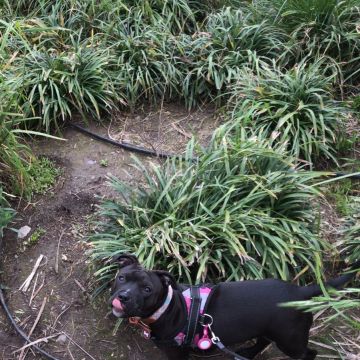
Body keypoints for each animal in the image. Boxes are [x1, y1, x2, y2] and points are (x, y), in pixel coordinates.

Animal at [111, 255, 358, 358]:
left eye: (147, 289)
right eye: (121, 278)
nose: (123, 296)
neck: (168, 306)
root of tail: (299, 292)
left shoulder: (176, 353)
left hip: (291, 342)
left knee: (309, 354)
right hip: (271, 329)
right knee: (263, 340)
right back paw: (248, 353)